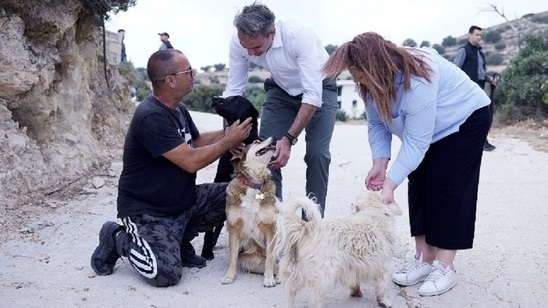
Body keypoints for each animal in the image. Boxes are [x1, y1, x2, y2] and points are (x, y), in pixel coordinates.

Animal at [201, 94, 262, 260]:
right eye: (228, 96)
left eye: (236, 100)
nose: (215, 98)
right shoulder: (219, 181)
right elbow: (210, 228)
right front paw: (206, 251)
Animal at [219, 137, 278, 286]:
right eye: (257, 141)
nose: (275, 138)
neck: (254, 185)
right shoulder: (234, 227)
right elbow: (232, 256)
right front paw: (229, 276)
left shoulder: (270, 227)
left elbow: (270, 258)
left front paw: (269, 279)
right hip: (248, 261)